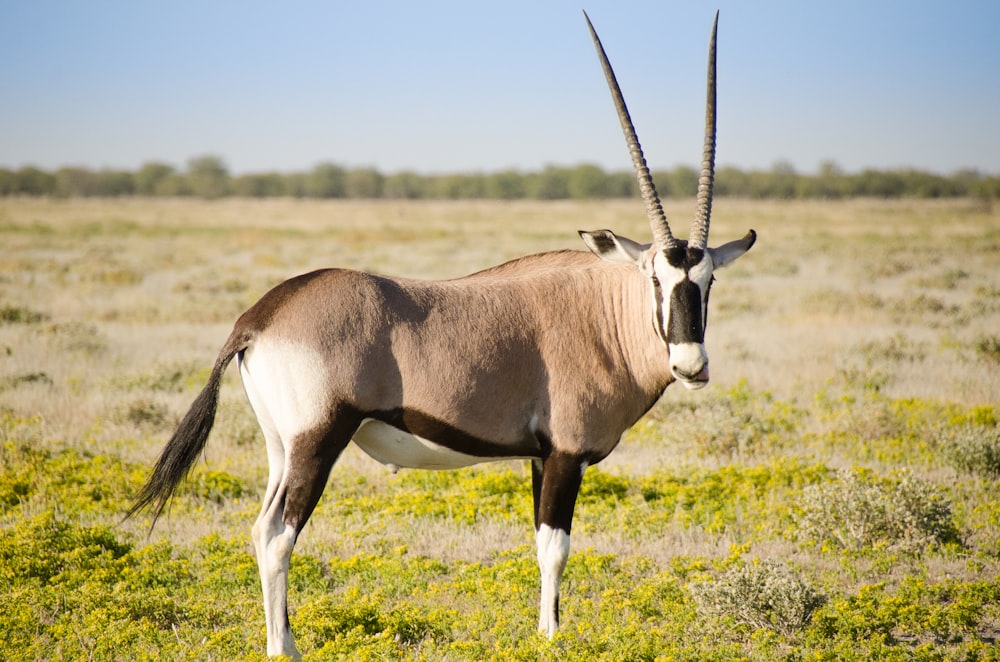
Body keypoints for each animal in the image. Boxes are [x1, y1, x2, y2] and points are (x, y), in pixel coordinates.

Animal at [129, 10, 756, 660]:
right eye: (655, 277)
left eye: (708, 280)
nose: (691, 365)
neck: (602, 314)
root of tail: (261, 315)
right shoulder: (565, 455)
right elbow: (556, 548)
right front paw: (552, 638)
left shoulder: (540, 457)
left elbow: (540, 543)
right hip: (318, 441)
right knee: (279, 535)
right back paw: (284, 650)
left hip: (282, 446)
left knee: (260, 529)